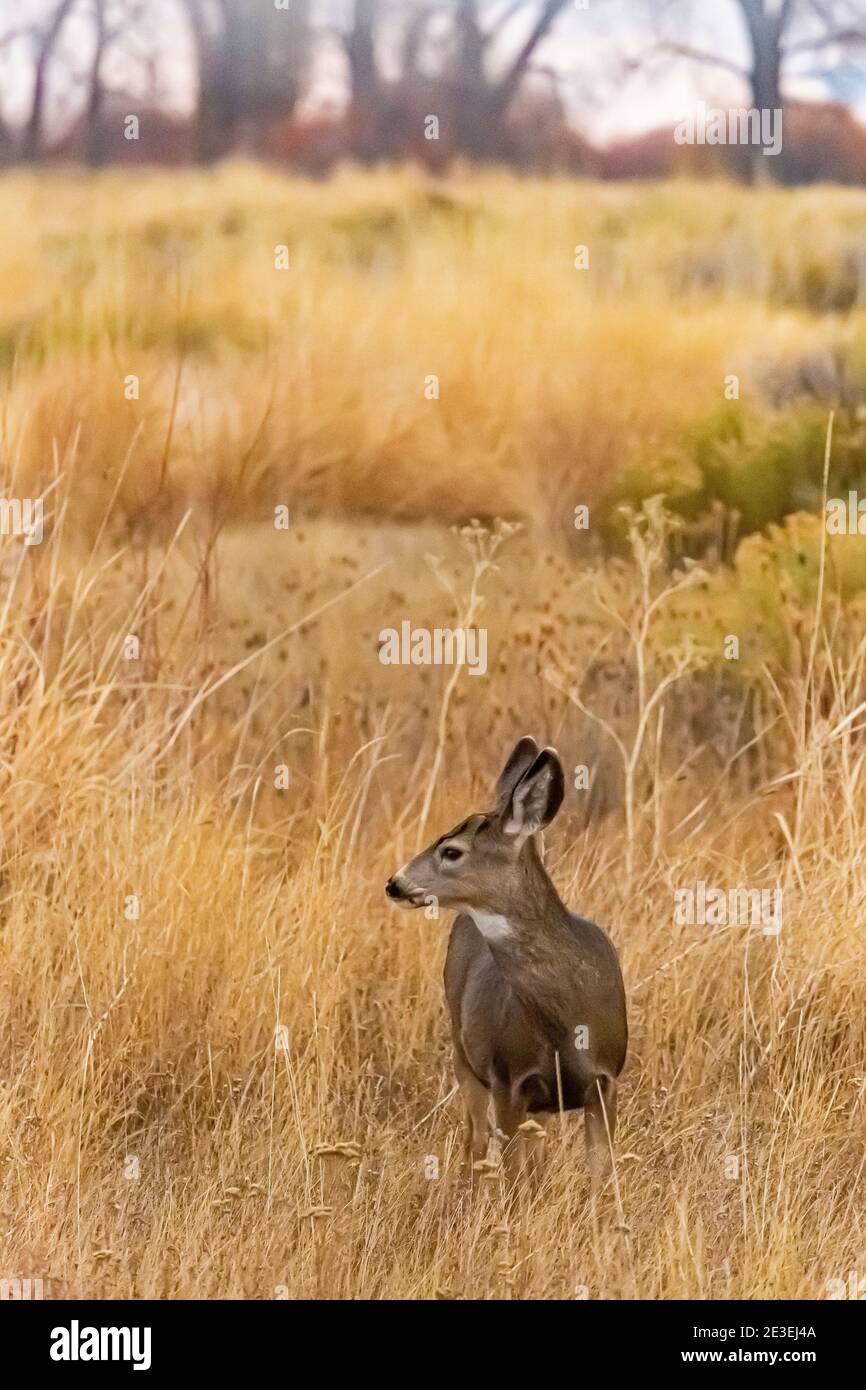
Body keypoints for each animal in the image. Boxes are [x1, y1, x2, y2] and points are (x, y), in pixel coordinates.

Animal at [385, 737, 628, 1185]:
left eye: (451, 850)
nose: (395, 883)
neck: (566, 1021)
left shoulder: (605, 1079)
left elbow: (600, 1174)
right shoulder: (507, 1081)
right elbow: (514, 1177)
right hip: (463, 1053)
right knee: (476, 1142)